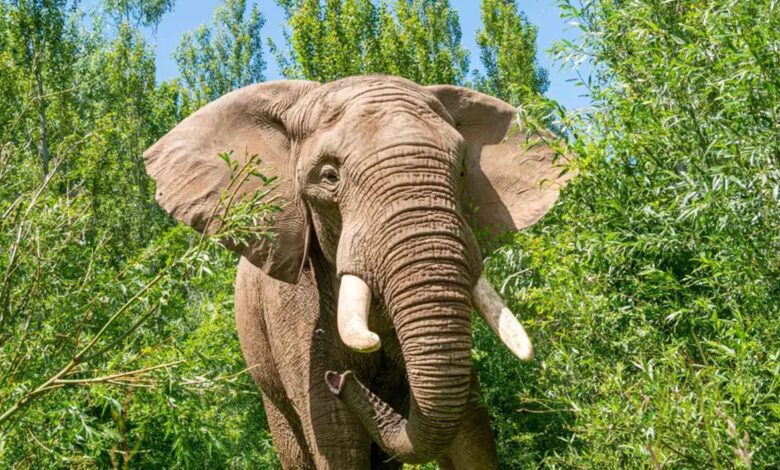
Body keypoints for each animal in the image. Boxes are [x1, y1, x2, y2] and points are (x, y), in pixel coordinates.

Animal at [143, 75, 570, 469]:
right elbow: (335, 436)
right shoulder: (294, 304)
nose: (340, 380)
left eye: (463, 170)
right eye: (329, 176)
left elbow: (469, 430)